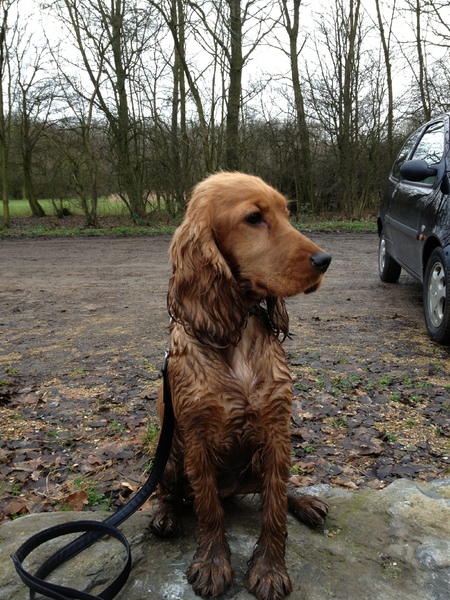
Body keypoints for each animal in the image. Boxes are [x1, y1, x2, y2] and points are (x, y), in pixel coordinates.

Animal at [151, 171, 330, 596]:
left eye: (286, 214)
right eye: (253, 218)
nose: (324, 260)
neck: (235, 334)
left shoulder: (277, 431)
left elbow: (274, 507)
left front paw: (269, 569)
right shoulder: (197, 438)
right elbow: (208, 509)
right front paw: (213, 563)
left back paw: (306, 503)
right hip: (167, 456)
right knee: (167, 492)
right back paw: (165, 516)